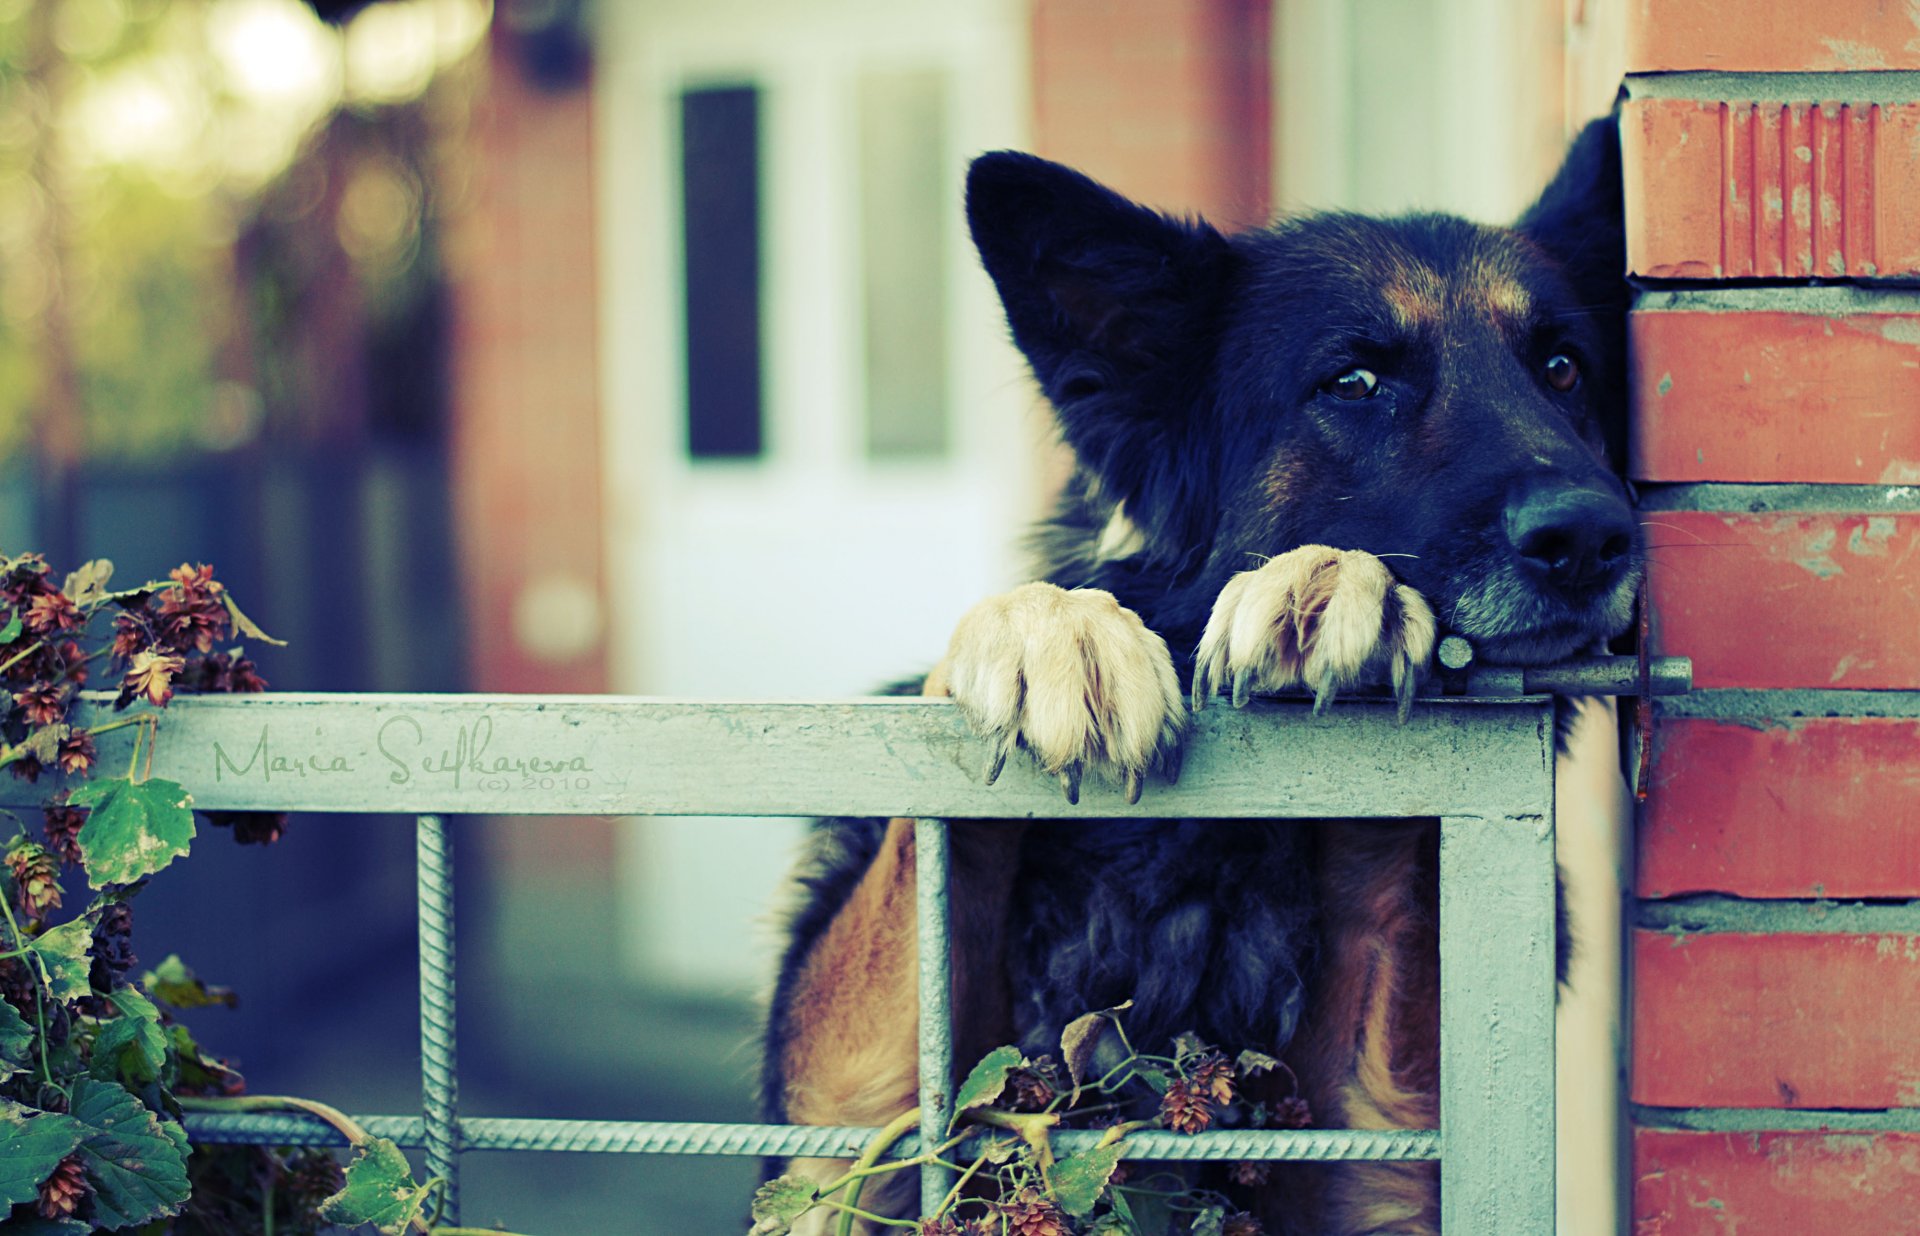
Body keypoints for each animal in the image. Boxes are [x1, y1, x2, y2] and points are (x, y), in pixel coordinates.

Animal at [764, 118, 1635, 1236]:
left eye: (1564, 368)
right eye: (1354, 383)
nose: (1593, 536)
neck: (1197, 860)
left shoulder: (1385, 1155)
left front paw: (1336, 589)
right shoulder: (849, 1134)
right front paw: (1050, 628)